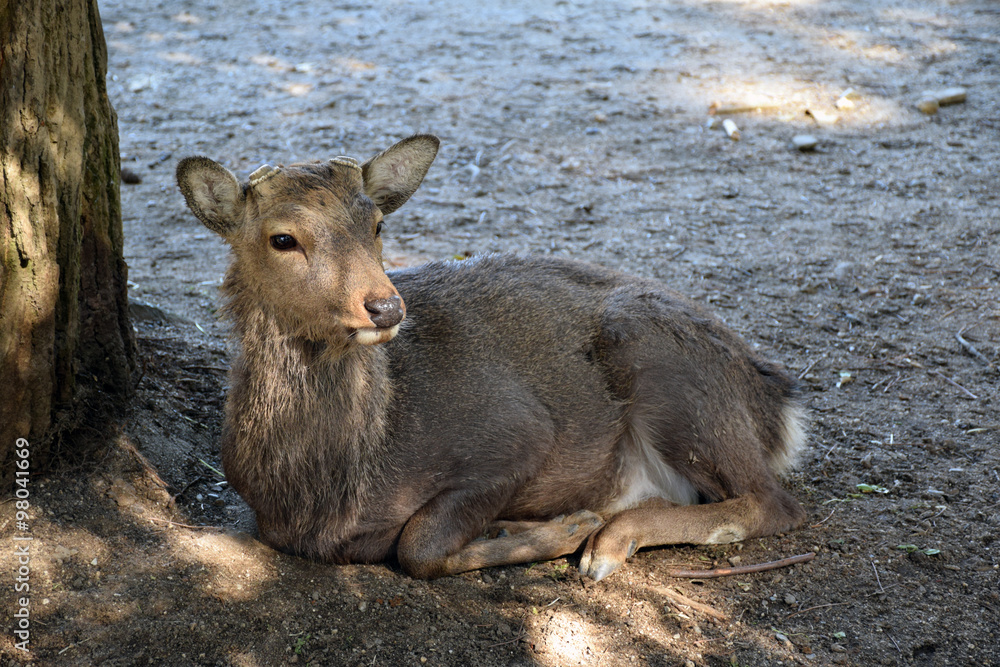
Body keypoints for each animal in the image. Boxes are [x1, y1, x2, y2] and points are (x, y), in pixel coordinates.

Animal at [175, 134, 807, 581]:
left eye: (377, 224)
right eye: (282, 238)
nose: (385, 306)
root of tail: (778, 402)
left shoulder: (517, 434)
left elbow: (417, 546)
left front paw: (568, 526)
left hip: (668, 371)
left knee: (774, 502)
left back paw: (607, 542)